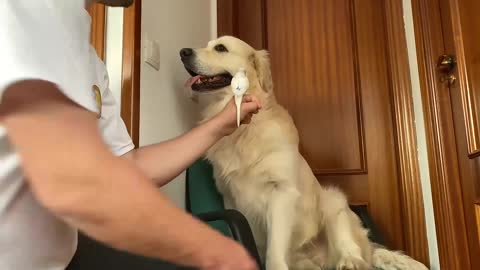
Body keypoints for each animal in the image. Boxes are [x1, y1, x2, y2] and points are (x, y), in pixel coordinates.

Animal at [179, 36, 428, 270]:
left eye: (221, 48)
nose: (183, 52)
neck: (245, 131)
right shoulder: (230, 197)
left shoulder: (282, 192)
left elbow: (274, 250)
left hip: (333, 200)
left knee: (351, 247)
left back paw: (350, 260)